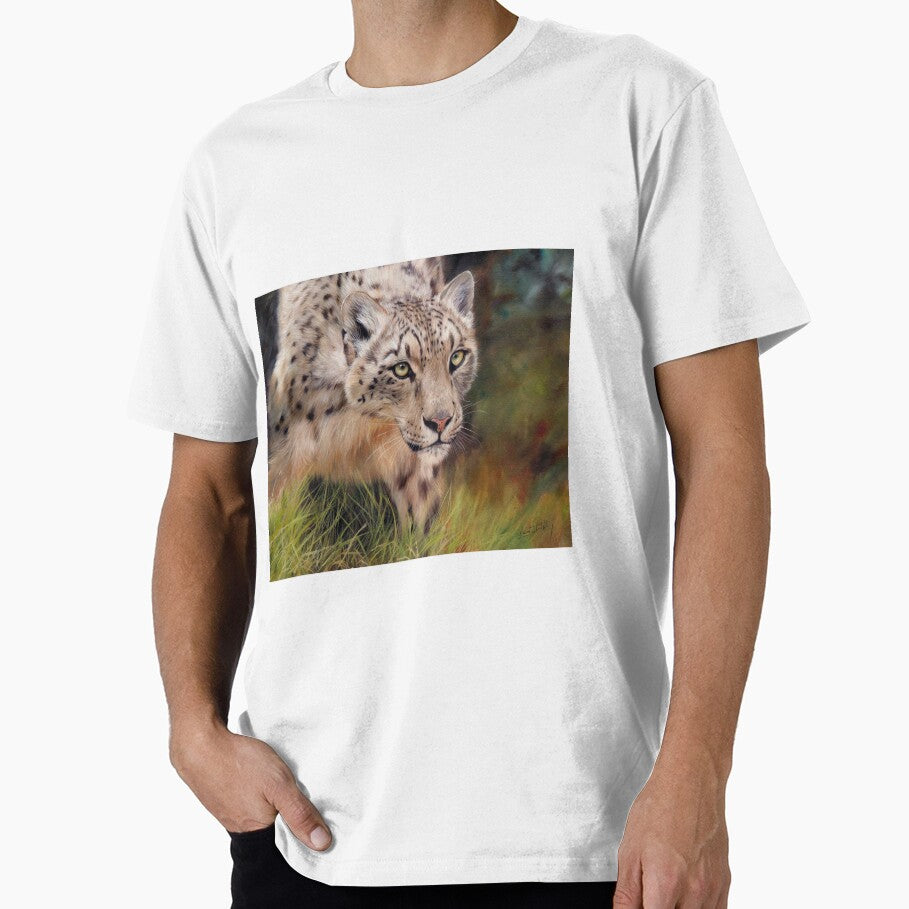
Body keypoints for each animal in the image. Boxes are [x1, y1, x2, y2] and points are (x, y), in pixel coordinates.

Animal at [265, 257, 478, 533]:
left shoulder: (416, 471)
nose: (441, 421)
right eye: (401, 368)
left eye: (457, 357)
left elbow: (418, 524)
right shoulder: (285, 454)